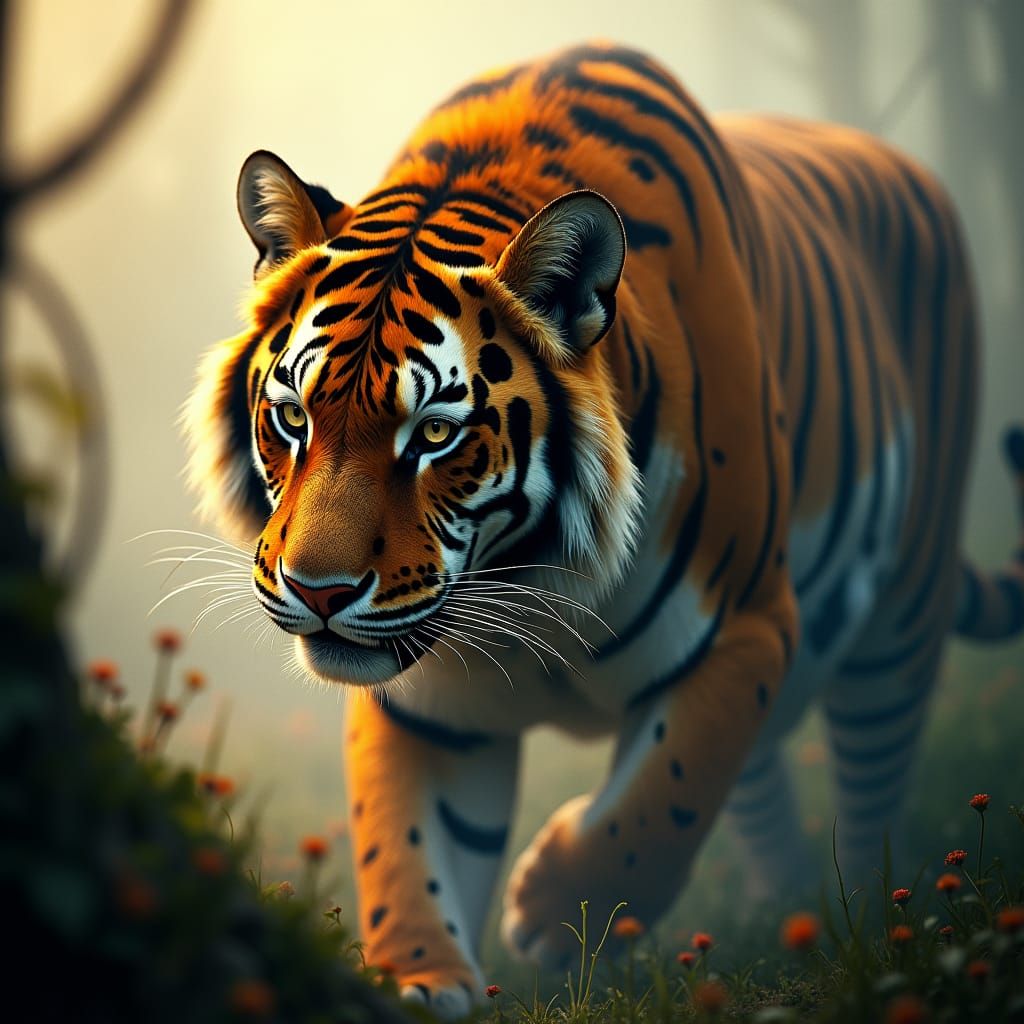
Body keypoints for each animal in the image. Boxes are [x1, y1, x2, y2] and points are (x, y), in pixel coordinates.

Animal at [183, 42, 1024, 1018]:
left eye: (433, 434)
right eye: (293, 418)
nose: (318, 594)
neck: (525, 583)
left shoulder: (743, 627)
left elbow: (665, 797)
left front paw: (550, 910)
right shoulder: (427, 703)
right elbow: (404, 846)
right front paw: (418, 981)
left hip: (901, 618)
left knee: (871, 792)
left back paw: (874, 925)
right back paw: (788, 913)